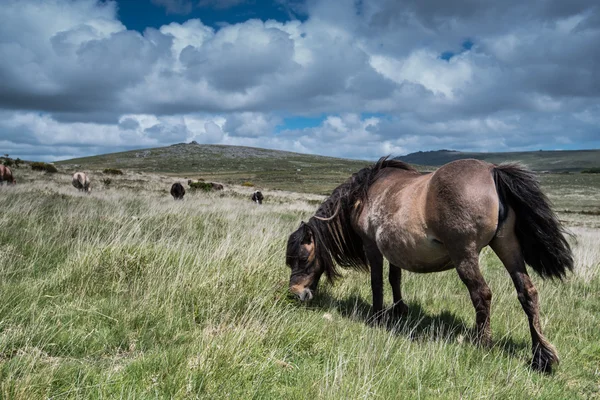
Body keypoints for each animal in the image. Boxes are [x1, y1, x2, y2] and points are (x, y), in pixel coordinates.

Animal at [286, 157, 572, 376]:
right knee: (527, 293)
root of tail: (492, 171)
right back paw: (541, 355)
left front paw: (377, 317)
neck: (364, 194)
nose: (296, 294)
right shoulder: (394, 249)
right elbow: (395, 279)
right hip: (507, 247)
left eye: (302, 258)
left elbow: (377, 282)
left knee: (482, 294)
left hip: (465, 255)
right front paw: (399, 311)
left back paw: (482, 344)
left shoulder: (372, 246)